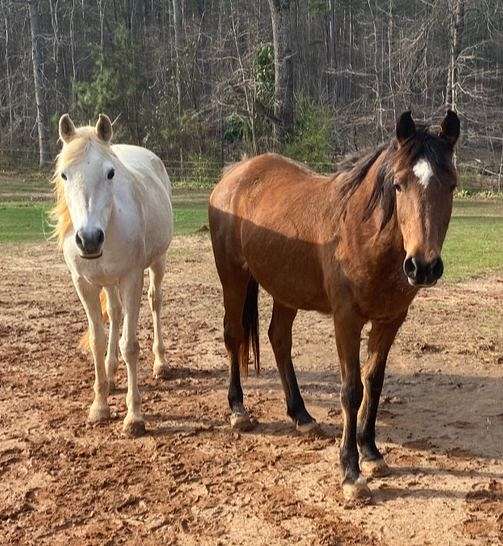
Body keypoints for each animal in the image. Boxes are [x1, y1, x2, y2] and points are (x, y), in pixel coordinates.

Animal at [53, 113, 174, 434]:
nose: (89, 239)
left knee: (155, 302)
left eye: (110, 173)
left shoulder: (132, 278)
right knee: (116, 313)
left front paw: (134, 417)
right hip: (107, 282)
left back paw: (160, 364)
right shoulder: (84, 285)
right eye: (64, 175)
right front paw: (99, 405)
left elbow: (130, 344)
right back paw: (110, 370)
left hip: (157, 263)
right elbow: (97, 339)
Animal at [209, 110, 460, 498]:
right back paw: (238, 411)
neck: (362, 232)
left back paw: (301, 416)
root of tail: (234, 175)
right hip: (233, 278)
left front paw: (371, 452)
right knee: (234, 335)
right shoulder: (347, 321)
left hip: (286, 289)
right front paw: (350, 471)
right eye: (399, 184)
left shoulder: (390, 321)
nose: (423, 266)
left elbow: (374, 383)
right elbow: (351, 391)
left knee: (279, 338)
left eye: (451, 185)